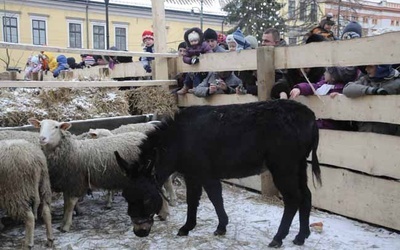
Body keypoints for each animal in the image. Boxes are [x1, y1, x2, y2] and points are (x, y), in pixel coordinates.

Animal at [27, 118, 169, 231]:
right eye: (40, 125)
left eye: (56, 127)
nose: (42, 138)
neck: (71, 150)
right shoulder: (68, 183)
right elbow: (66, 204)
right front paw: (62, 223)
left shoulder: (76, 181)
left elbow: (70, 204)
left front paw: (66, 226)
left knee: (160, 189)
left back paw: (163, 213)